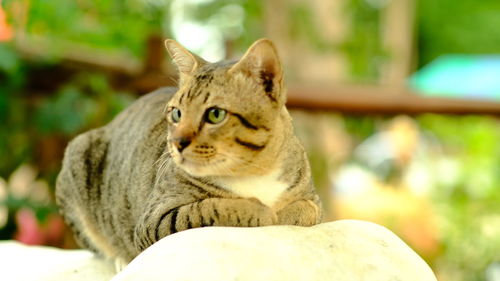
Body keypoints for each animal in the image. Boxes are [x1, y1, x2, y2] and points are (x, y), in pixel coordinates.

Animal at [54, 38, 320, 266]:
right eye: (176, 113)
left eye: (215, 114)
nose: (177, 142)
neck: (253, 171)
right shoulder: (154, 219)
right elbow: (208, 209)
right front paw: (261, 212)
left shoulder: (312, 198)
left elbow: (309, 210)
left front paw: (284, 213)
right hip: (77, 155)